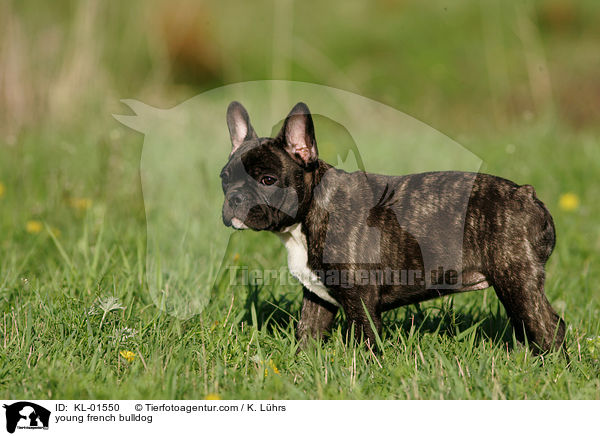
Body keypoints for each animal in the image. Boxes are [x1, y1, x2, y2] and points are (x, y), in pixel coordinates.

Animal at [221, 102, 568, 354]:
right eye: (224, 179)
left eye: (267, 180)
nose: (234, 198)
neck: (310, 214)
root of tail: (525, 194)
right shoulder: (317, 299)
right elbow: (307, 333)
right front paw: (301, 367)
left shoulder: (361, 301)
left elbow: (363, 344)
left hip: (516, 280)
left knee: (549, 327)